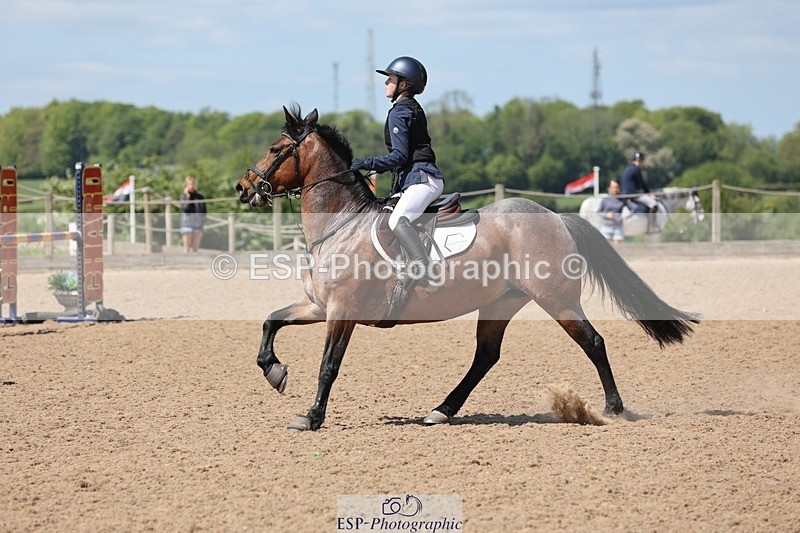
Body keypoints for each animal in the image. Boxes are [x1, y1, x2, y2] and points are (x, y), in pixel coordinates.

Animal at [235, 105, 699, 431]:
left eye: (276, 149)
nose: (243, 187)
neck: (340, 226)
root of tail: (556, 217)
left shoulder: (342, 313)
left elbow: (328, 366)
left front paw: (311, 417)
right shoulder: (319, 307)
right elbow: (271, 321)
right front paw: (274, 371)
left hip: (557, 299)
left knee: (594, 343)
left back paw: (613, 409)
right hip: (501, 303)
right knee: (485, 357)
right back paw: (441, 411)